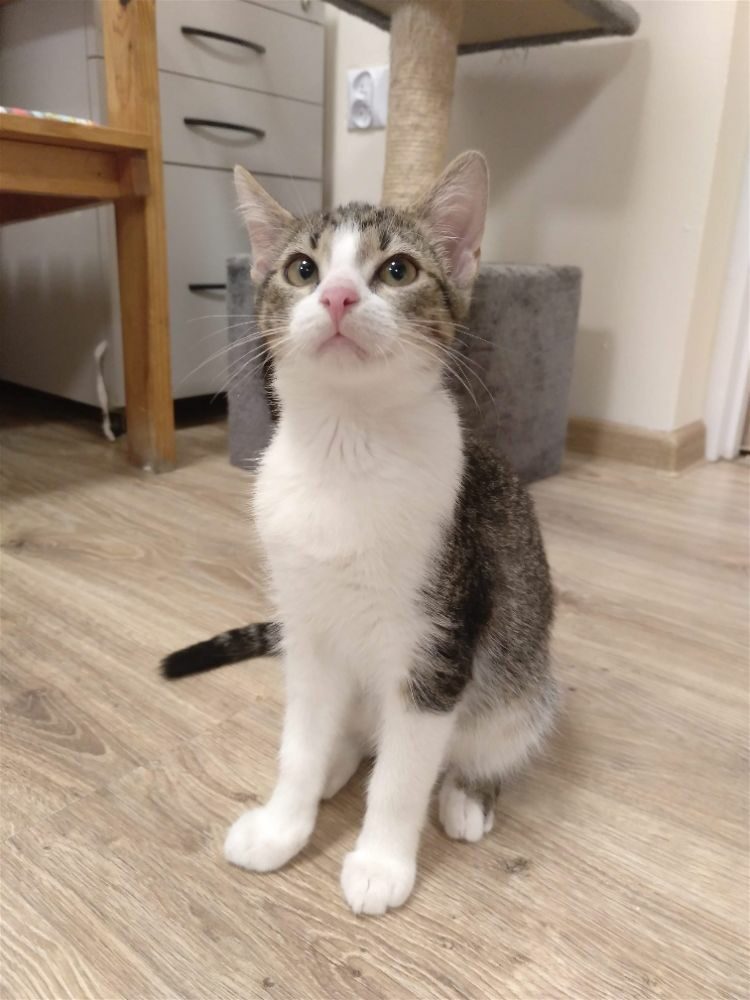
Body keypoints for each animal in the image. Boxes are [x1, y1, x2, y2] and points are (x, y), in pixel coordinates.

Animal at [162, 151, 557, 916]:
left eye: (397, 270)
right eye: (302, 269)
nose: (340, 297)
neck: (347, 448)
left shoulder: (441, 639)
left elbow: (405, 772)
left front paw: (381, 862)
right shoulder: (307, 624)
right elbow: (301, 739)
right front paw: (283, 824)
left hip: (525, 677)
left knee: (490, 734)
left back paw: (467, 793)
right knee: (344, 733)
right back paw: (335, 766)